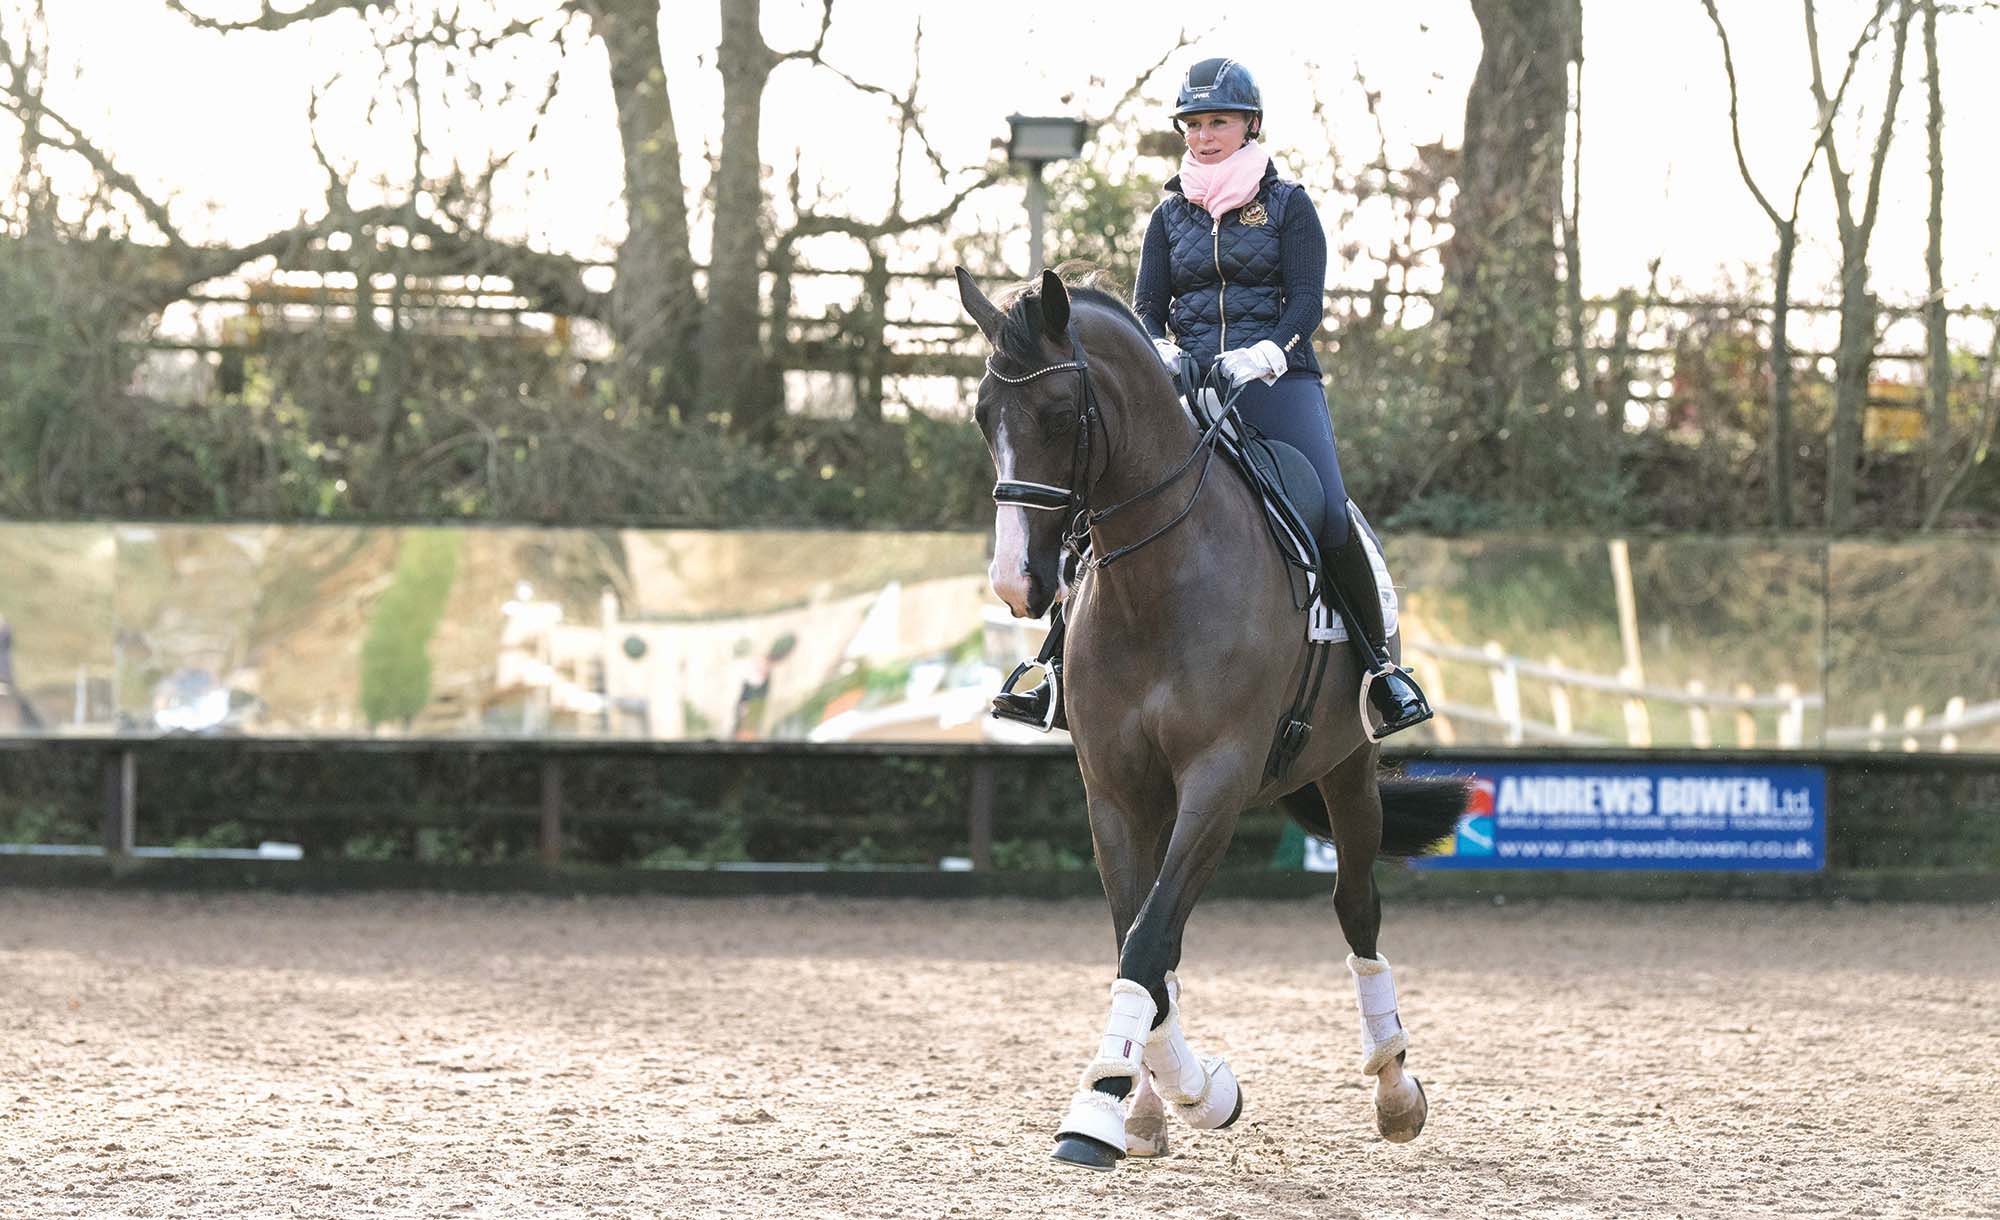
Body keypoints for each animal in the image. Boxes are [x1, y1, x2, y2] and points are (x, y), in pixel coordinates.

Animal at [955, 266, 1469, 1170]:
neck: (1158, 578)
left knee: (1356, 907)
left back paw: (1395, 1090)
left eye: (1056, 415)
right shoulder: (1118, 792)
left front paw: (1123, 1104)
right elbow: (1143, 942)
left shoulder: (1218, 781)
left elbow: (1147, 940)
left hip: (1347, 768)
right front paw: (1151, 1099)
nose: (1016, 581)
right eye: (985, 416)